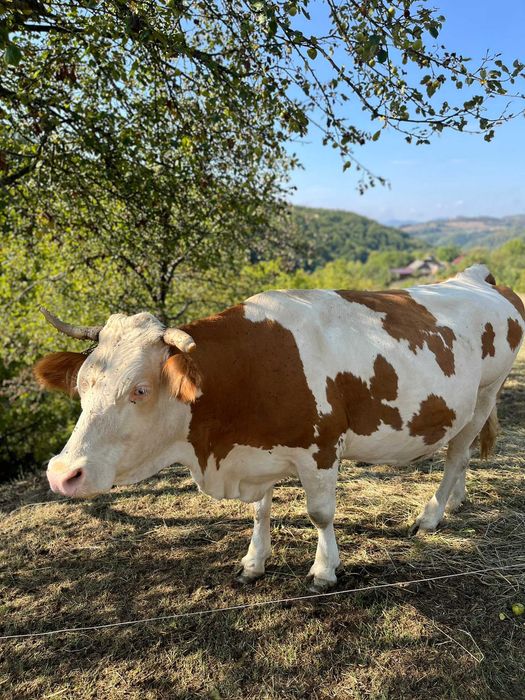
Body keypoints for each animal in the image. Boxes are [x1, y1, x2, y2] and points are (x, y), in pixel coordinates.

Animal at [34, 264, 524, 592]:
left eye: (139, 389)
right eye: (82, 383)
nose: (61, 474)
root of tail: (476, 276)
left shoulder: (322, 445)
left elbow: (320, 513)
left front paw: (325, 570)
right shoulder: (256, 449)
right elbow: (260, 509)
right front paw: (254, 561)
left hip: (487, 391)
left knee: (457, 454)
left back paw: (432, 514)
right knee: (461, 454)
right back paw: (457, 501)